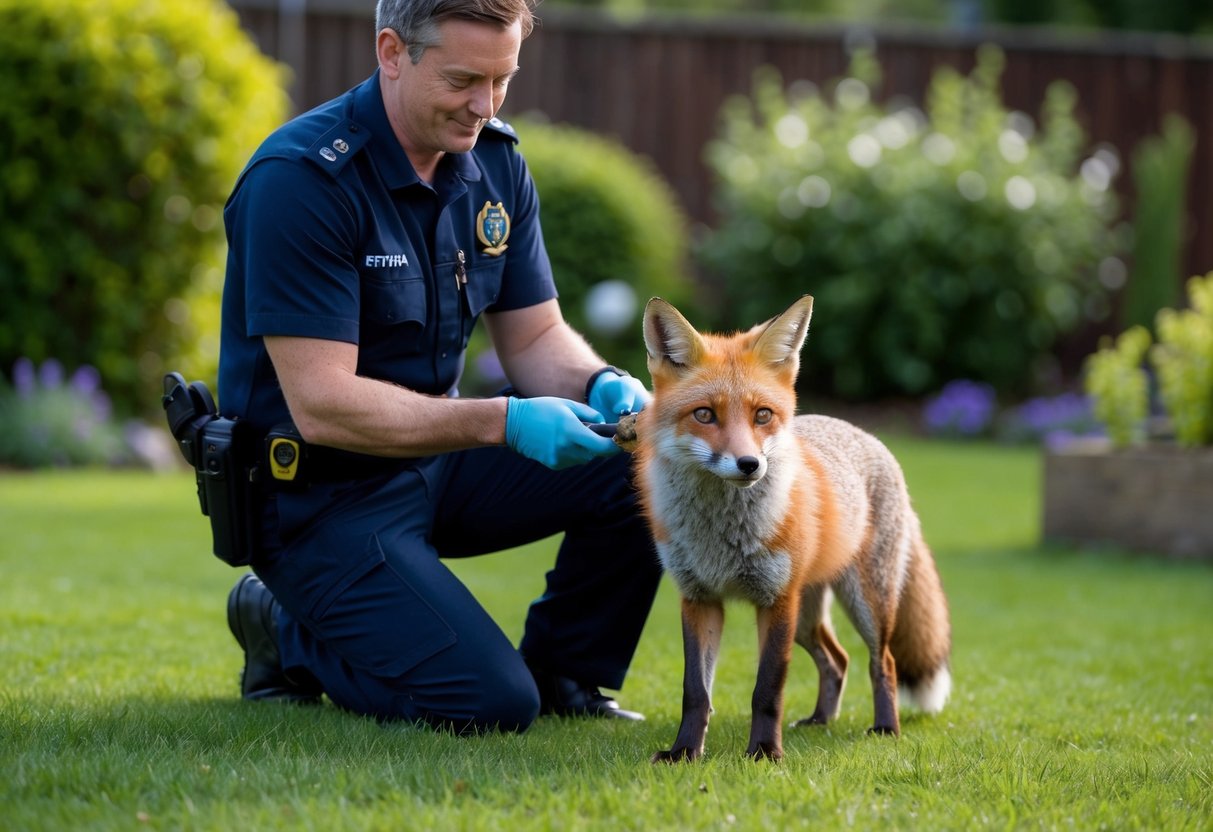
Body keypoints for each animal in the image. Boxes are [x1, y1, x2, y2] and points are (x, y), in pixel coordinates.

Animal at [632, 294, 952, 762]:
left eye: (762, 415)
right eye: (704, 414)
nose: (749, 464)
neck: (720, 536)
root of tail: (866, 435)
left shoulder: (777, 600)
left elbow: (767, 690)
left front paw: (765, 753)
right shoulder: (698, 599)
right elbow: (695, 692)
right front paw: (685, 753)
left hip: (864, 601)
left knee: (884, 662)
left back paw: (885, 728)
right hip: (808, 613)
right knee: (837, 659)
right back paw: (821, 720)